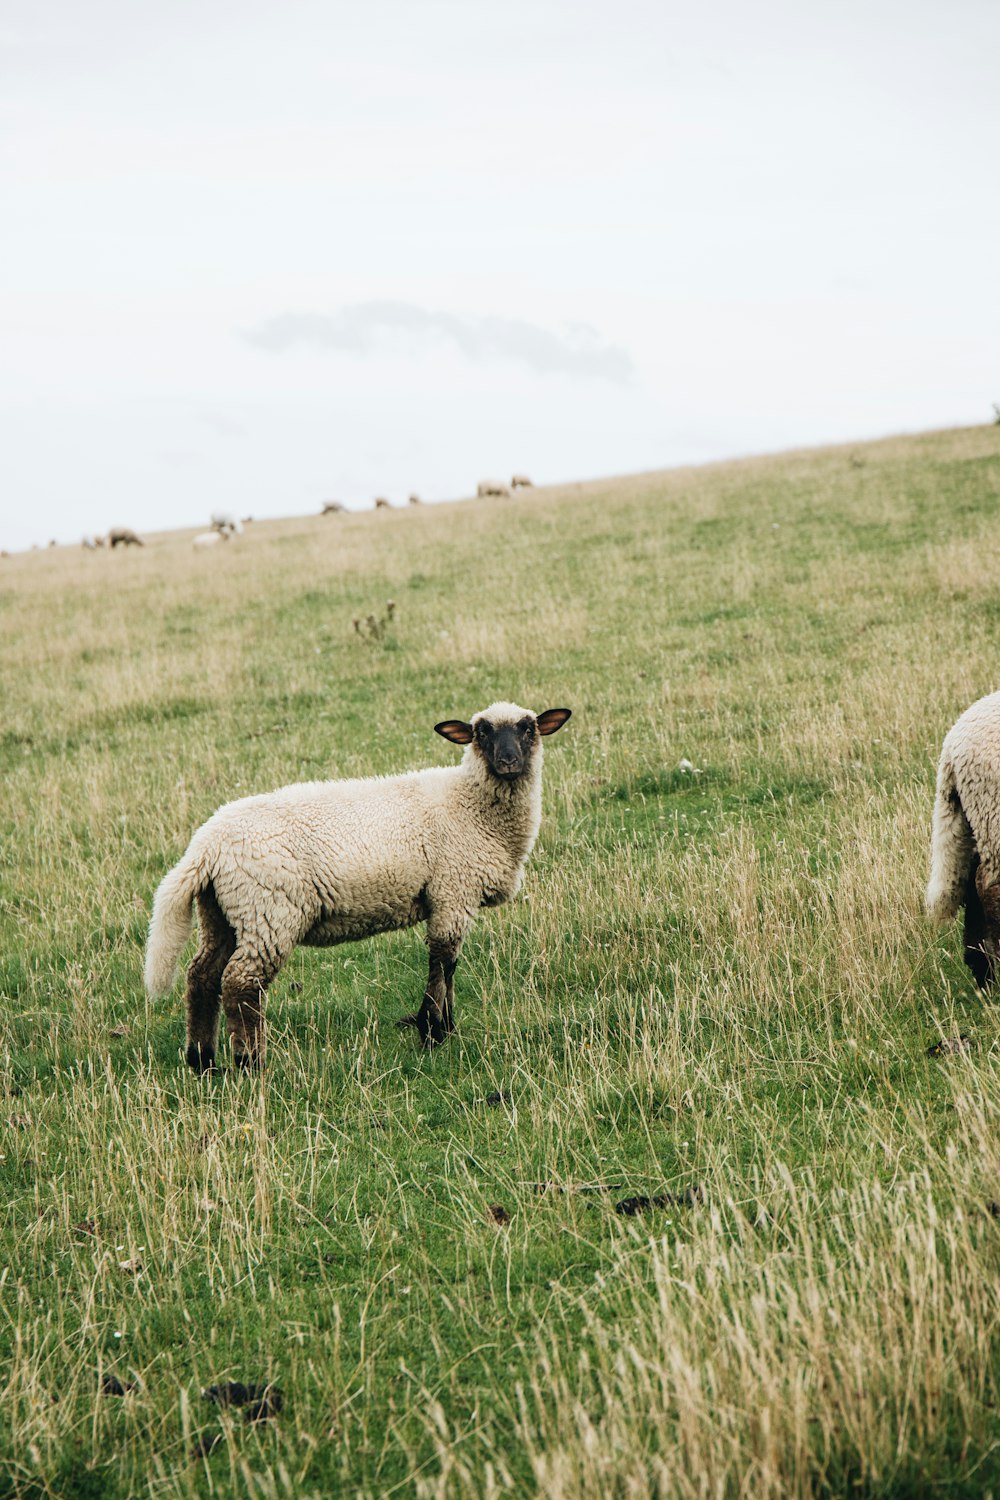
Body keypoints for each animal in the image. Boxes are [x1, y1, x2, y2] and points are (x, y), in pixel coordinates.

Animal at [144, 702, 575, 1068]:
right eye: (481, 732)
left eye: (528, 728)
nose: (508, 762)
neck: (469, 804)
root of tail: (206, 846)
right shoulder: (453, 891)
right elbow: (443, 962)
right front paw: (434, 1032)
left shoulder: (450, 895)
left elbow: (447, 965)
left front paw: (442, 1027)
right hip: (268, 911)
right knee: (240, 984)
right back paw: (249, 1063)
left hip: (223, 913)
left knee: (202, 977)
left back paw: (202, 1060)